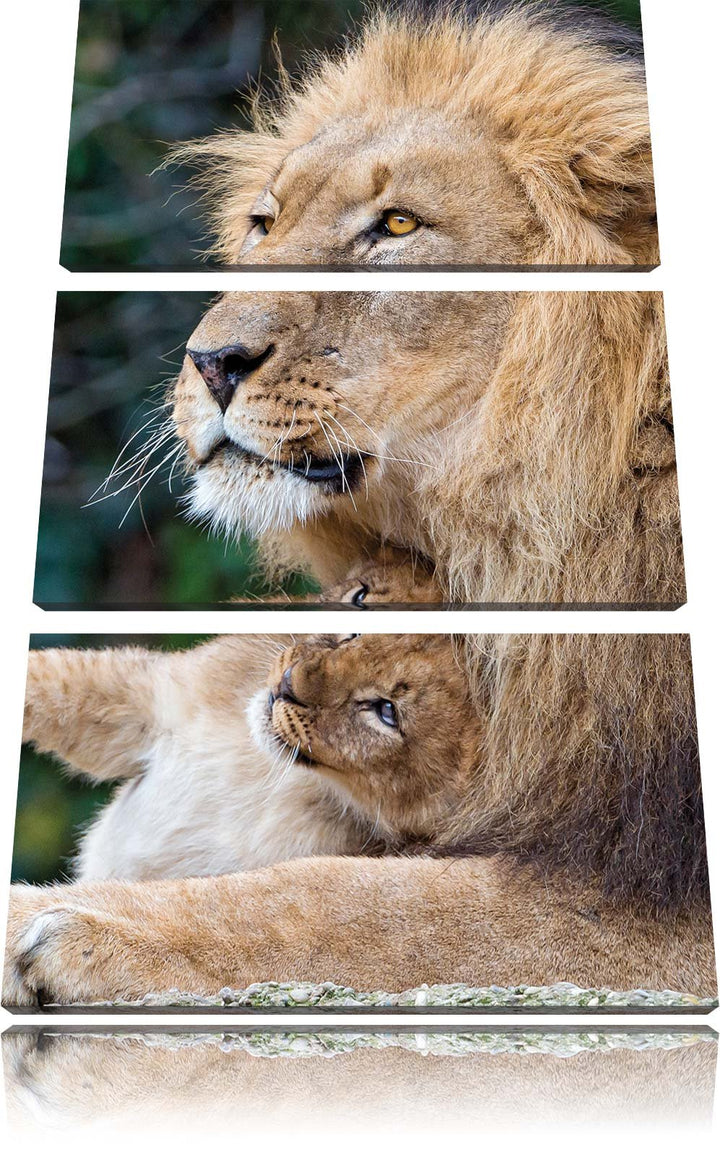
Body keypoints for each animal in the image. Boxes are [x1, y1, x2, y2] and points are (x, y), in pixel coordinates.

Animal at [4, 633, 714, 1007]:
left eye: (386, 711)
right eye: (347, 633)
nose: (287, 683)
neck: (279, 776)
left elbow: (288, 924)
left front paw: (70, 945)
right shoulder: (155, 699)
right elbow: (56, 681)